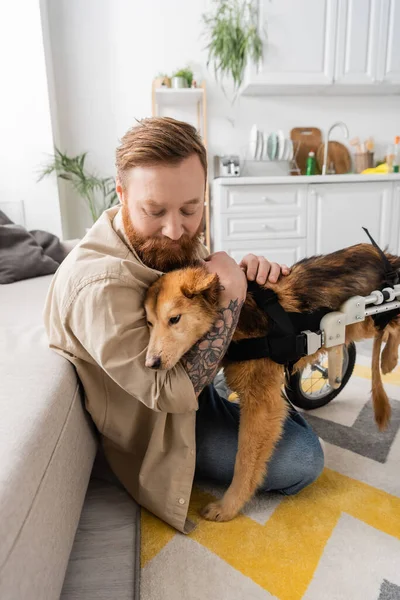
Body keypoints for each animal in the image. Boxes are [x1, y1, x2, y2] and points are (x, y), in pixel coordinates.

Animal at [144, 243, 400, 520]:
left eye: (175, 319)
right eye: (149, 323)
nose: (150, 363)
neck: (239, 314)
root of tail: (384, 256)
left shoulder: (262, 404)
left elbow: (245, 461)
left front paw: (229, 506)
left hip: (370, 318)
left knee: (390, 328)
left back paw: (387, 360)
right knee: (349, 342)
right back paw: (339, 371)